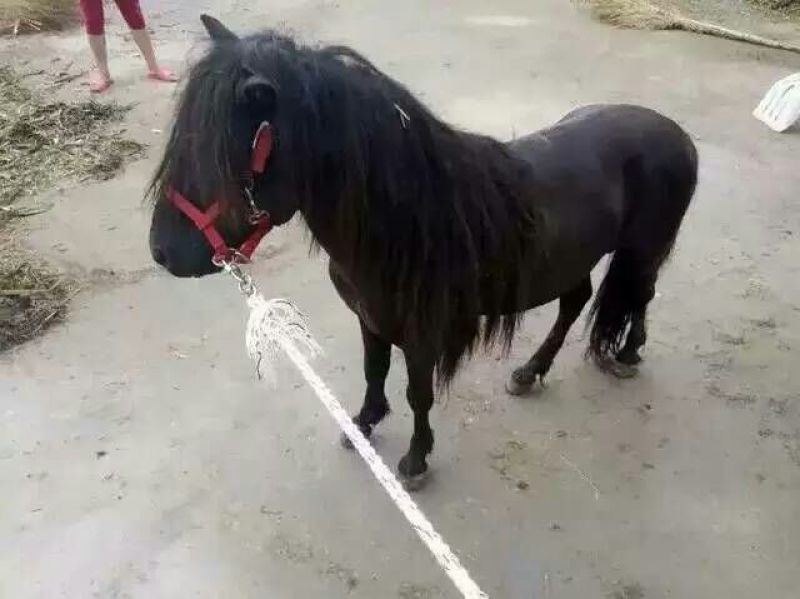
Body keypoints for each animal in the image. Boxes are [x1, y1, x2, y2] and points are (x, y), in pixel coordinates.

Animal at [148, 15, 698, 489]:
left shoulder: (420, 335)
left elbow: (418, 394)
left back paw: (625, 354)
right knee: (576, 301)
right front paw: (363, 424)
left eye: (217, 155)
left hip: (643, 249)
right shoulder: (371, 319)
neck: (406, 221)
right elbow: (374, 373)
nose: (162, 252)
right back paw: (530, 372)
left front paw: (415, 459)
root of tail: (677, 133)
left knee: (640, 294)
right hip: (573, 259)